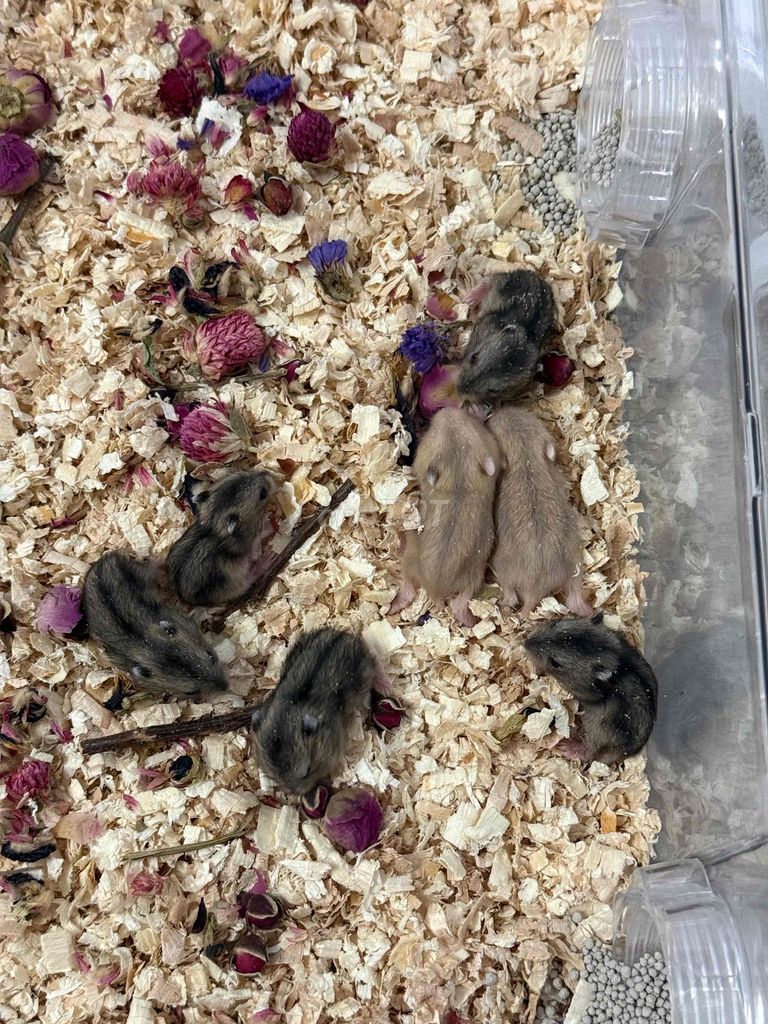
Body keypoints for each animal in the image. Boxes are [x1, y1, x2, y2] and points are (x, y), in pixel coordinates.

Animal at [82, 551, 229, 695]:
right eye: (190, 693)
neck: (147, 643)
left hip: (143, 572)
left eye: (211, 656)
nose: (226, 687)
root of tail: (102, 560)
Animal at [167, 470, 275, 606]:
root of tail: (186, 600)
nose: (268, 473)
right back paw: (267, 560)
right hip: (234, 583)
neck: (214, 522)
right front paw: (272, 522)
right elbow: (261, 539)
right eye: (263, 493)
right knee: (248, 581)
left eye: (243, 472)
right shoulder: (252, 544)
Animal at [458, 270, 555, 401]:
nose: (459, 391)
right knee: (488, 280)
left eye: (493, 390)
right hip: (502, 281)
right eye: (474, 357)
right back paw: (469, 299)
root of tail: (537, 277)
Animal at [487, 406, 591, 616]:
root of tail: (536, 591)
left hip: (502, 568)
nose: (502, 409)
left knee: (511, 596)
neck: (524, 453)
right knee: (575, 598)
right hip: (575, 567)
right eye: (528, 416)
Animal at [524, 612, 658, 764]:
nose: (525, 642)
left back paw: (567, 746)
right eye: (555, 623)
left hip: (597, 732)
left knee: (590, 755)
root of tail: (624, 754)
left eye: (555, 663)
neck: (615, 657)